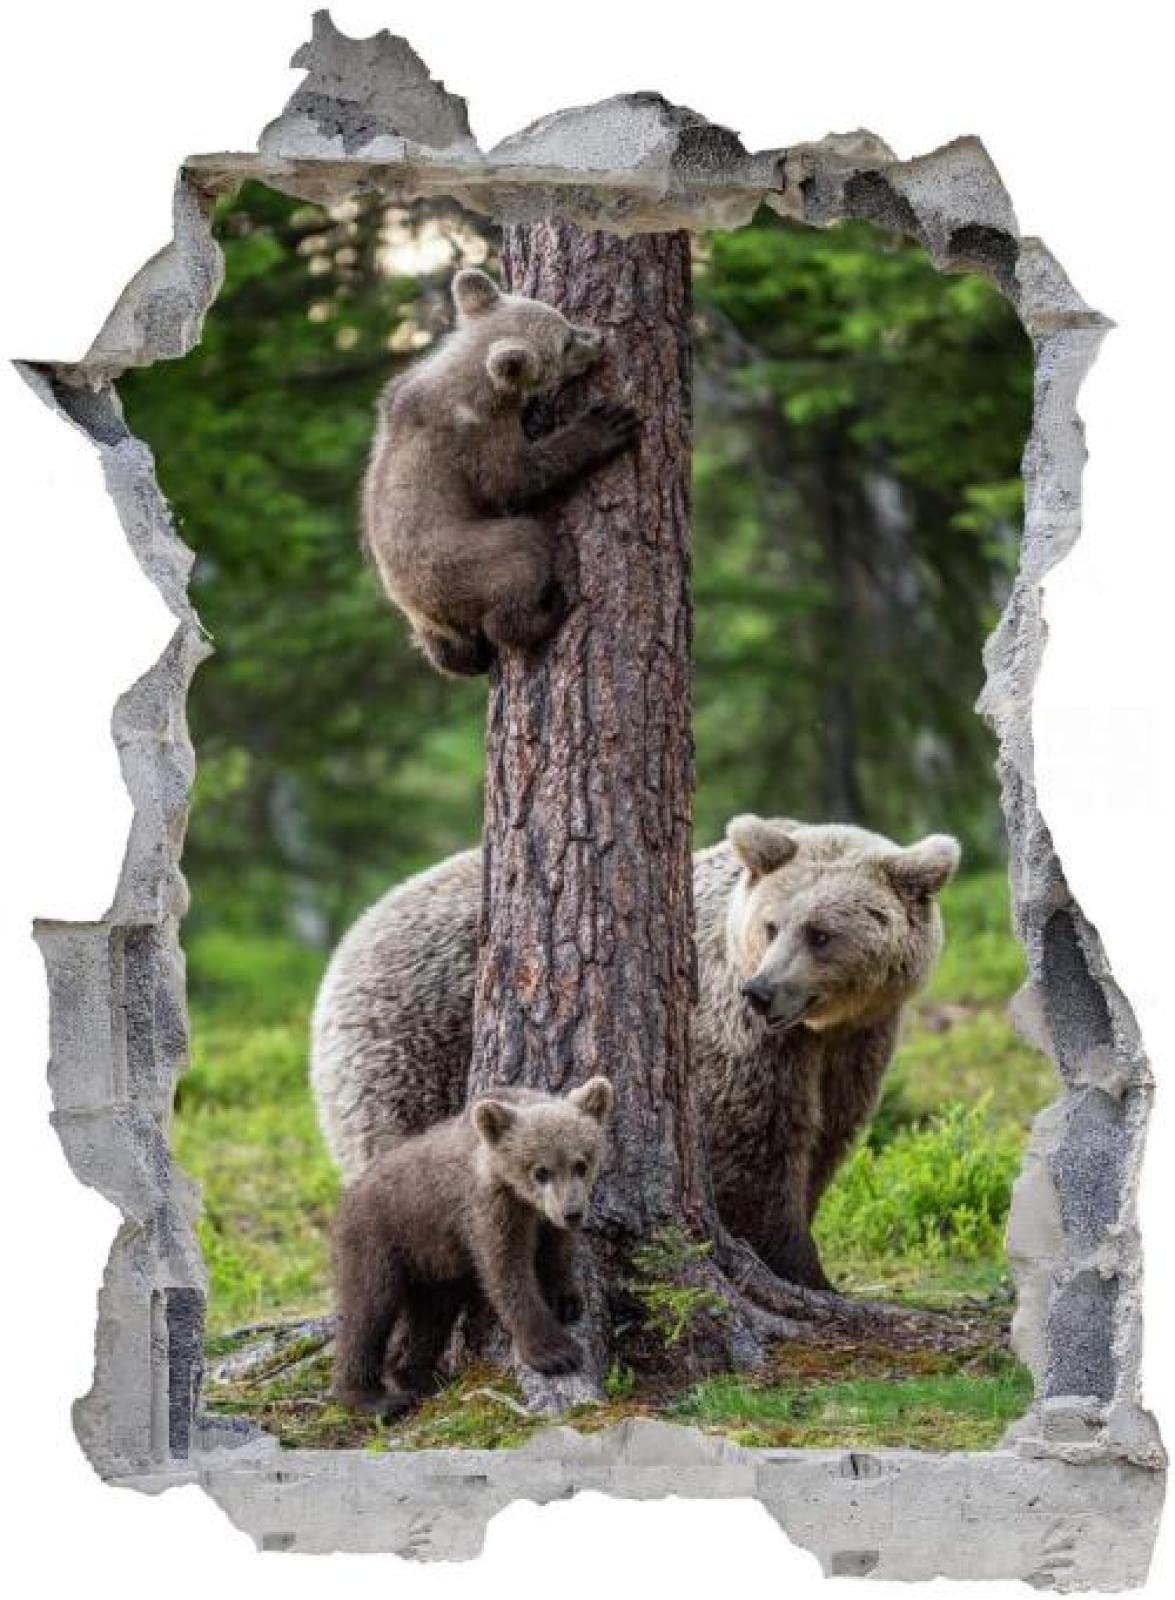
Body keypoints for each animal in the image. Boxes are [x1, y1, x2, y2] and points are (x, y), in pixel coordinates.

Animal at [311, 817, 959, 1292]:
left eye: (821, 933)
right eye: (773, 926)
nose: (762, 991)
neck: (822, 1027)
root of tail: (352, 938)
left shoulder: (855, 1044)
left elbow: (827, 1136)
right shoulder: (738, 1038)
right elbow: (759, 1145)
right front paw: (800, 1267)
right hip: (410, 1046)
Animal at [331, 1077, 613, 1416]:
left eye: (581, 1164)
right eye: (540, 1171)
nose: (572, 1212)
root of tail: (349, 1194)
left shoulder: (542, 1218)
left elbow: (556, 1250)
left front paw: (565, 1298)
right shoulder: (488, 1210)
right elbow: (506, 1272)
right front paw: (555, 1352)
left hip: (433, 1262)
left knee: (431, 1315)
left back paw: (418, 1375)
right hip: (380, 1238)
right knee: (368, 1309)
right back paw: (371, 1396)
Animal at [362, 266, 640, 677]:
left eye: (564, 319)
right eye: (565, 343)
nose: (599, 338)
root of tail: (425, 610)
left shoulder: (398, 390)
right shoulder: (477, 435)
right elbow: (513, 480)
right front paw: (607, 424)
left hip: (429, 622)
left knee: (448, 654)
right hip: (466, 560)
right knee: (522, 554)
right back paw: (548, 610)